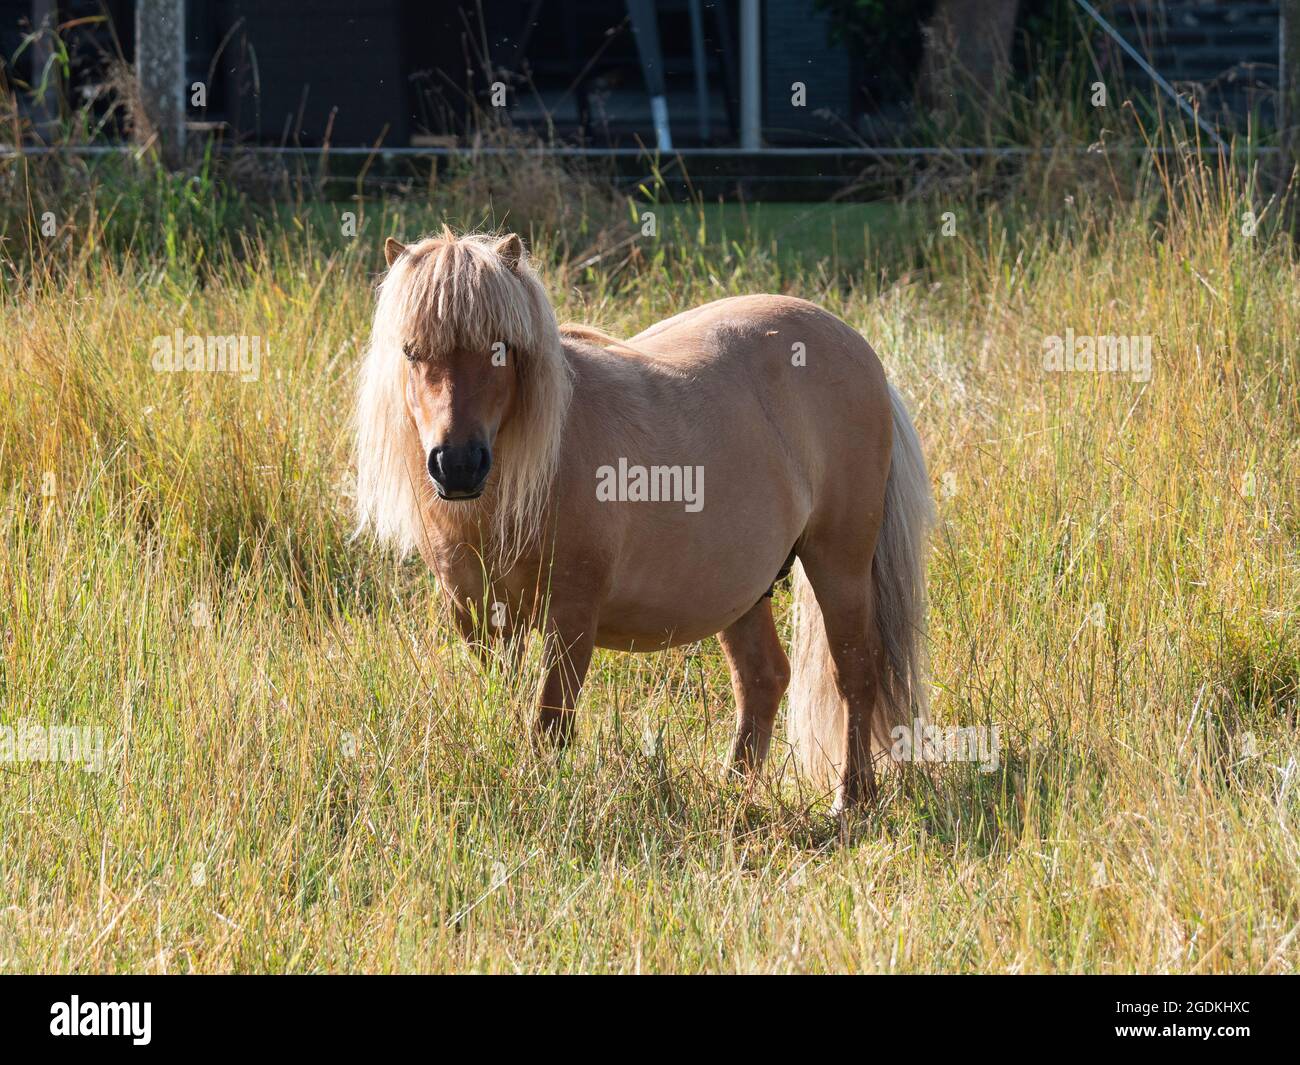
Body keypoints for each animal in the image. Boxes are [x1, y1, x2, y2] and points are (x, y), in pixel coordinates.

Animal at [351, 227, 930, 806]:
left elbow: (549, 723)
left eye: (500, 348)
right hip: (743, 587)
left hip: (839, 564)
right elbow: (506, 701)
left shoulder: (572, 614)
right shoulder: (479, 615)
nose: (457, 466)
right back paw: (733, 794)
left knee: (855, 671)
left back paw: (850, 799)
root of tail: (857, 348)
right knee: (763, 677)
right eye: (410, 351)